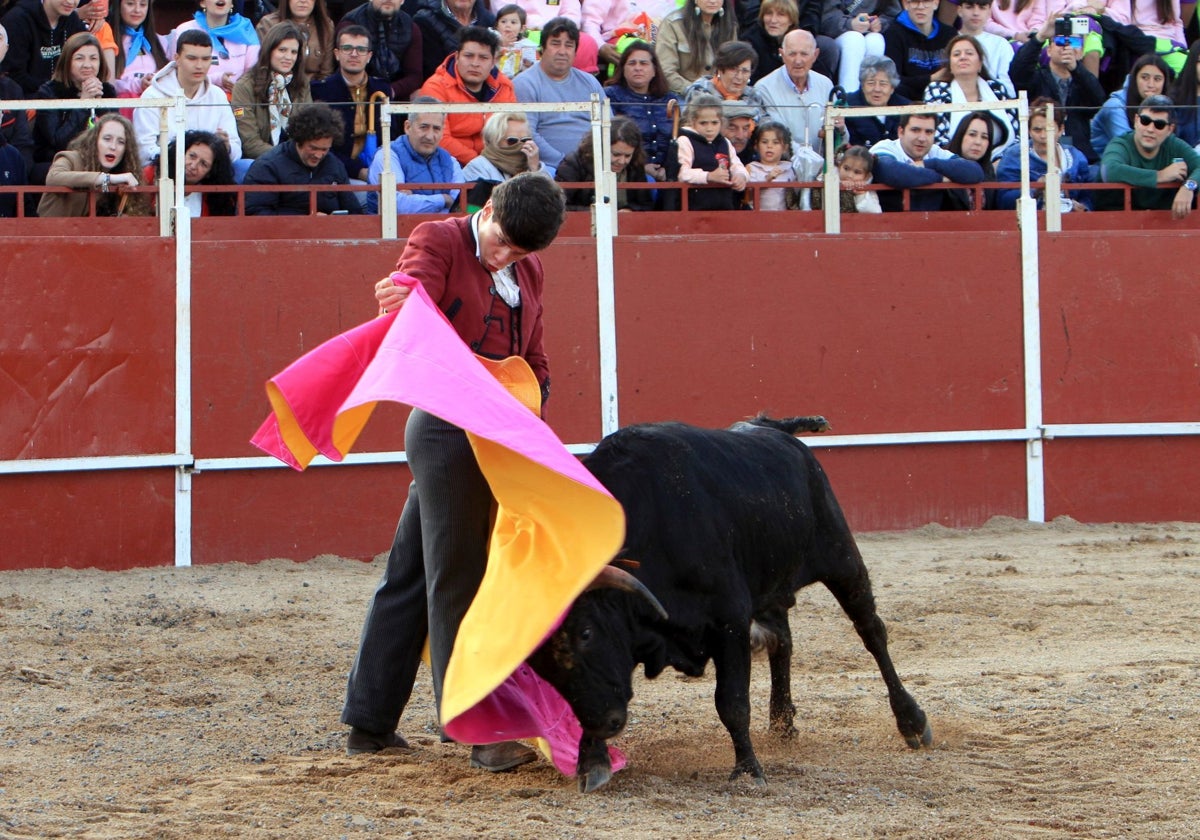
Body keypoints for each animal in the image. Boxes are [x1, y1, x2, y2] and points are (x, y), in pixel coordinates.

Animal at [530, 417, 931, 792]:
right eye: (536, 662)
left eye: (585, 633)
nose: (606, 723)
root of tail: (771, 427)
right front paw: (592, 761)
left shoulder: (729, 619)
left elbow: (732, 702)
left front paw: (748, 771)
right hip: (770, 584)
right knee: (782, 642)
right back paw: (782, 725)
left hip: (841, 556)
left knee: (872, 632)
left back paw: (912, 721)